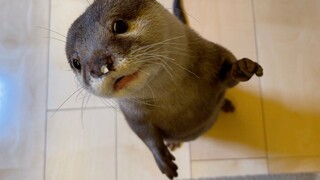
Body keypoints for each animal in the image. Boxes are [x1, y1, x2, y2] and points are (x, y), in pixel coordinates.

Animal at [65, 0, 262, 179]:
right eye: (76, 63)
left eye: (119, 25)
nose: (98, 66)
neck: (176, 98)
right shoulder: (132, 114)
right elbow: (144, 134)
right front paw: (162, 159)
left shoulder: (215, 54)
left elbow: (228, 76)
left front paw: (241, 68)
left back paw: (226, 104)